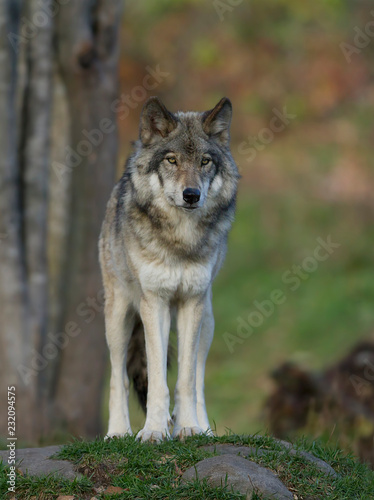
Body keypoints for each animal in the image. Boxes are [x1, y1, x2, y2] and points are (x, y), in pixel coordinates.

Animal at [98, 96, 240, 442]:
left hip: (208, 320)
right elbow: (157, 381)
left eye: (204, 161)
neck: (180, 240)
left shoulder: (192, 303)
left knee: (199, 377)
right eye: (172, 160)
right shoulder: (154, 303)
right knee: (118, 377)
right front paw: (152, 430)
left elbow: (186, 379)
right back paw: (118, 432)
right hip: (118, 318)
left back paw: (202, 427)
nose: (191, 195)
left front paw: (187, 427)